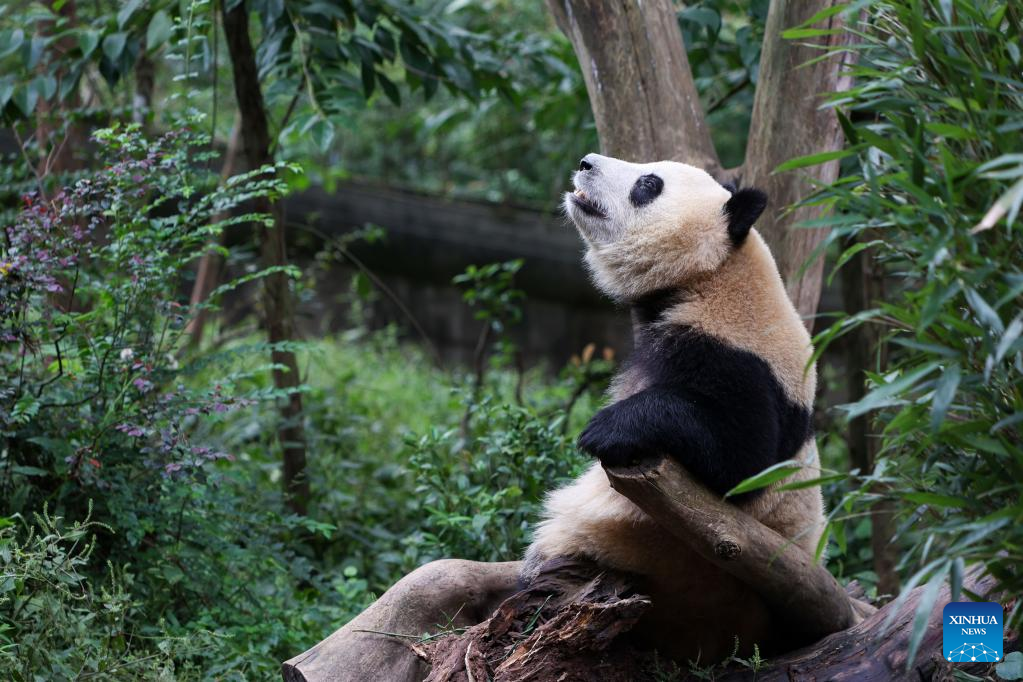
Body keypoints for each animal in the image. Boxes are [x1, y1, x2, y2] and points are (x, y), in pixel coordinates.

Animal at [522, 153, 826, 663]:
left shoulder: (745, 363)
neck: (712, 278)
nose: (585, 162)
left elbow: (740, 460)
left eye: (649, 184)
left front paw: (606, 429)